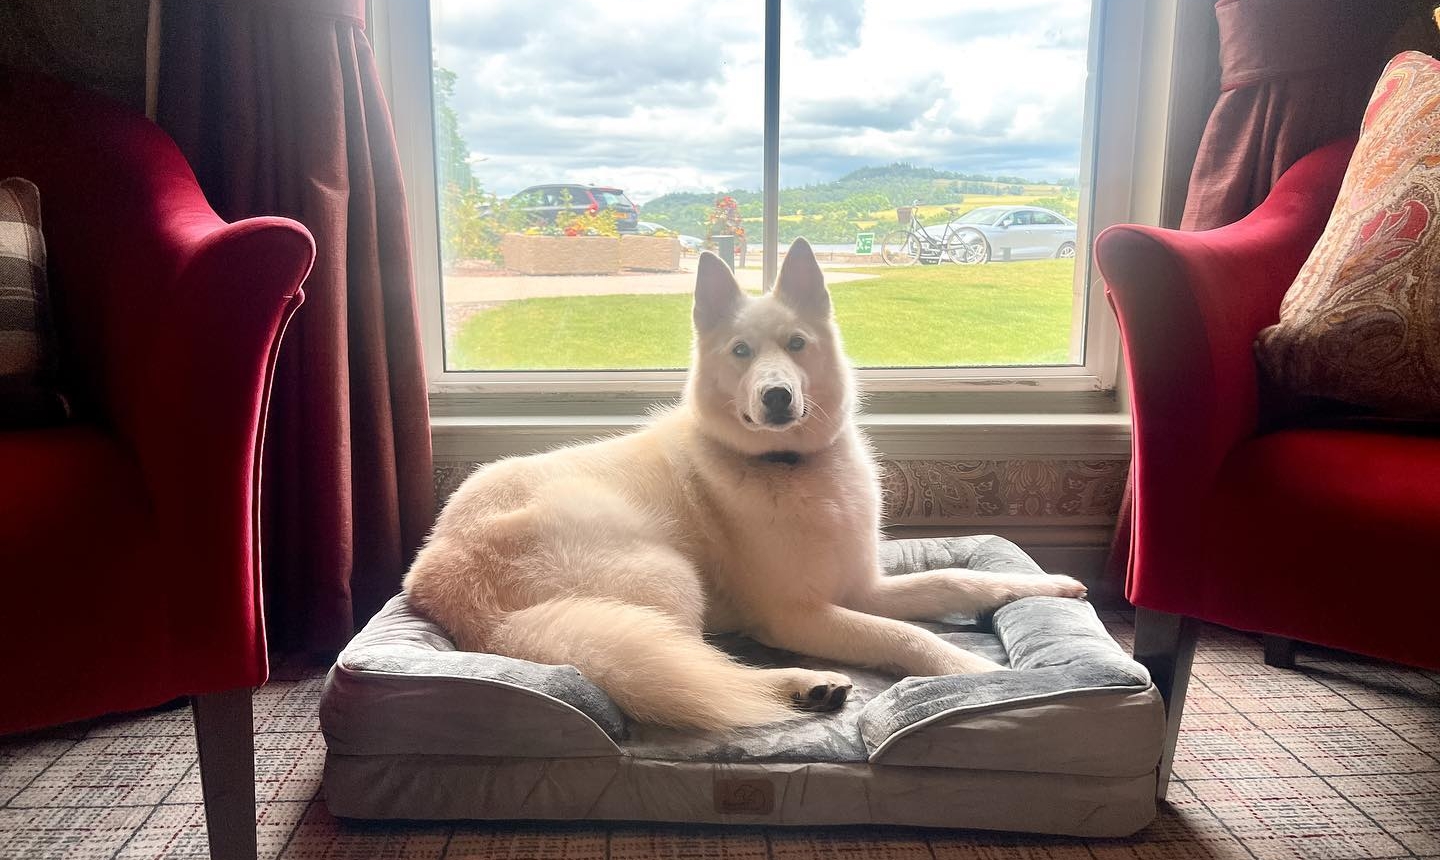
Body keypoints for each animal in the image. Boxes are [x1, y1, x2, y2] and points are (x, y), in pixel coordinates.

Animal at [403, 237, 1082, 728]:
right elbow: (905, 632)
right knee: (701, 668)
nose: (776, 396)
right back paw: (800, 685)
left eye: (796, 343)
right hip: (668, 577)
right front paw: (971, 668)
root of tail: (443, 575)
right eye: (739, 351)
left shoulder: (861, 587)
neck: (789, 466)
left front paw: (1046, 585)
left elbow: (953, 579)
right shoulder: (796, 617)